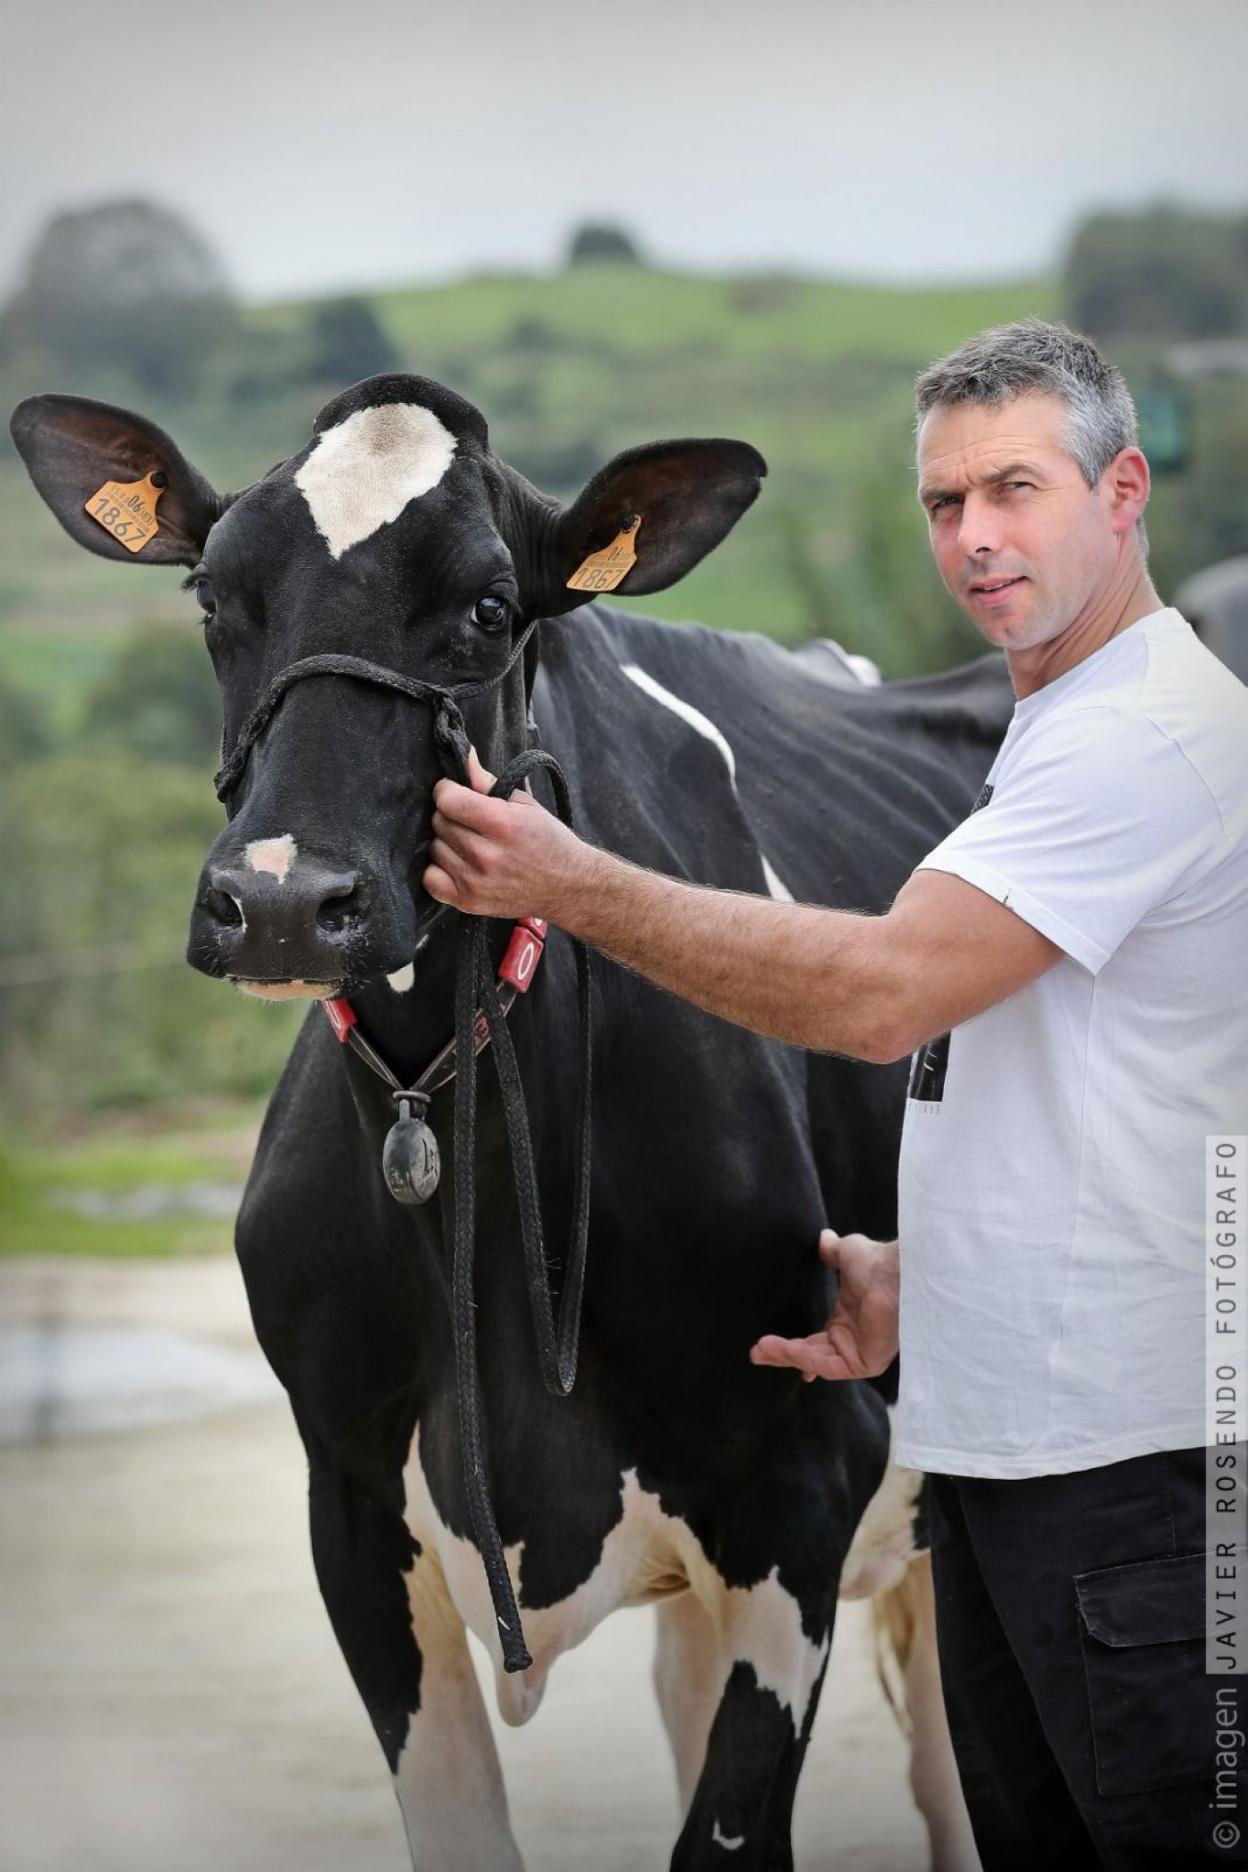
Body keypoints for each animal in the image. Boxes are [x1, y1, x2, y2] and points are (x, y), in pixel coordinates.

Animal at [11, 375, 1006, 1870]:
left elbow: (725, 1834)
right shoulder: (354, 1502)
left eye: (489, 606)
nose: (284, 904)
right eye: (212, 598)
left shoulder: (802, 1490)